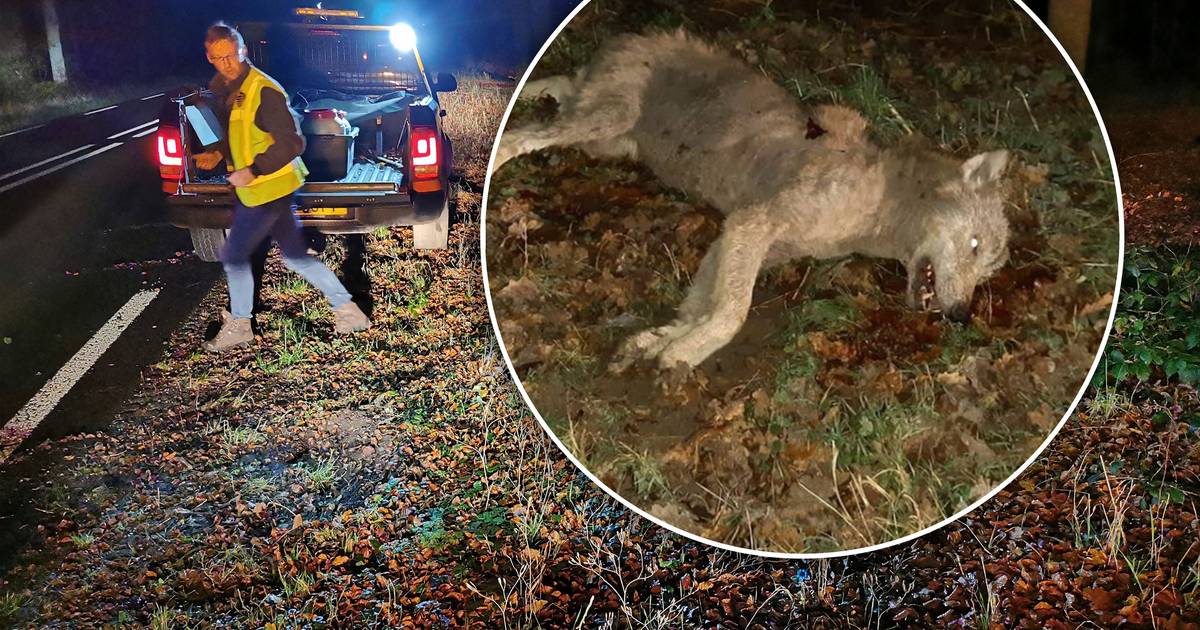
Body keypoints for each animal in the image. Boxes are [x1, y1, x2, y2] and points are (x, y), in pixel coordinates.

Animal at [491, 31, 1011, 371]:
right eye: (974, 245)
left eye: (988, 271)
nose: (962, 316)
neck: (879, 204)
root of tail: (631, 35)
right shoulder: (752, 224)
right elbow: (733, 313)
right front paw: (683, 355)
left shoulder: (739, 238)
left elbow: (702, 307)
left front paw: (656, 343)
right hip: (603, 122)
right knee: (522, 136)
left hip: (608, 138)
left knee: (560, 87)